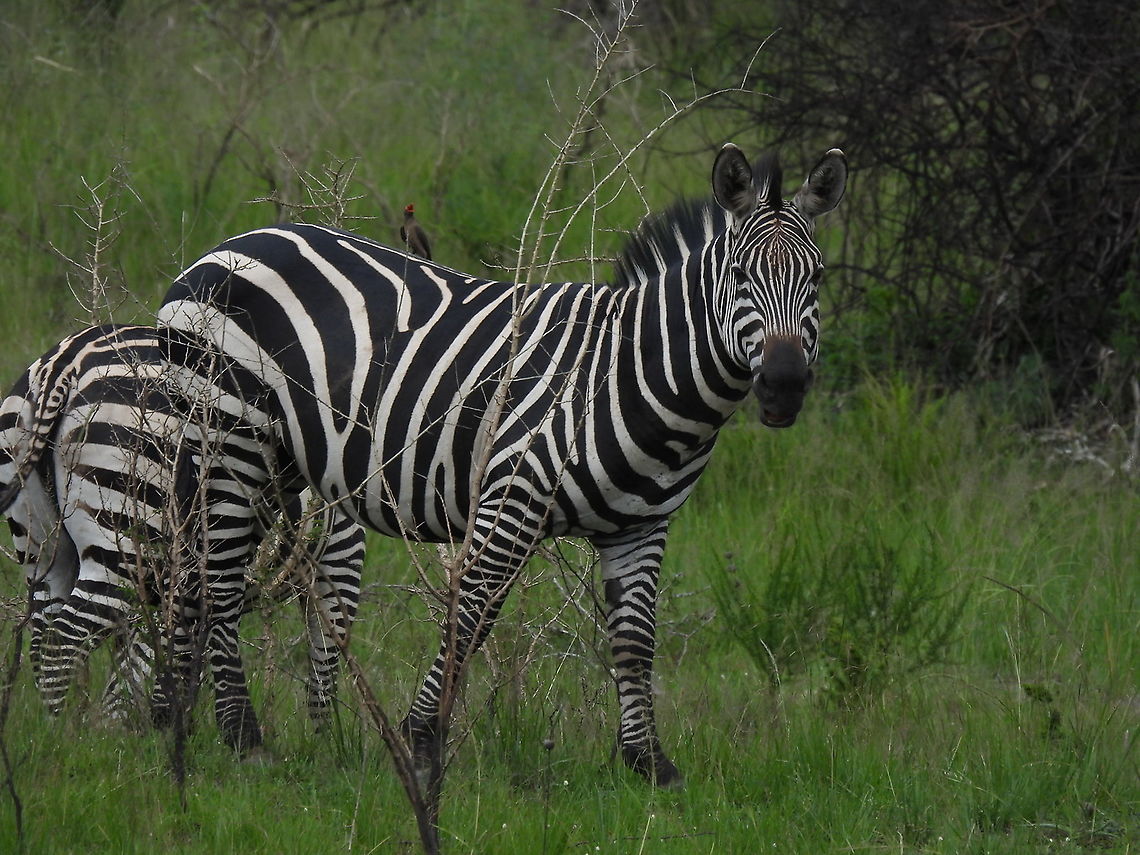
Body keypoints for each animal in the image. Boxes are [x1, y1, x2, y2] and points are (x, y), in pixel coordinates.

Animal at [0, 324, 364, 736]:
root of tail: (63, 362)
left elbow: (151, 668)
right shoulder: (341, 551)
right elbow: (324, 664)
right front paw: (328, 744)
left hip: (41, 543)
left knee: (43, 637)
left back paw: (58, 737)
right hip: (126, 530)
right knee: (64, 642)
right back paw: (68, 740)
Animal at [155, 143, 847, 786]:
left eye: (816, 279)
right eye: (741, 277)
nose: (785, 387)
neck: (631, 376)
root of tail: (227, 245)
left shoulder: (642, 526)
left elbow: (634, 640)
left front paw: (650, 765)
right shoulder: (514, 495)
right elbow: (473, 615)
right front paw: (423, 742)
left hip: (273, 462)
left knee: (193, 575)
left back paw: (173, 724)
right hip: (228, 436)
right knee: (218, 581)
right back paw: (240, 738)